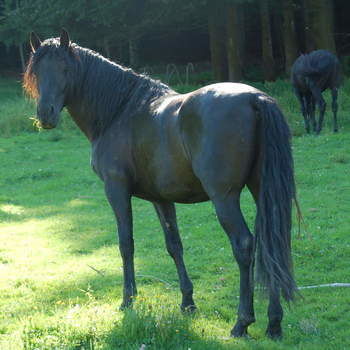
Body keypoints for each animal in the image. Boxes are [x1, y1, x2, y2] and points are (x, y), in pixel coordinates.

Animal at [23, 30, 298, 340]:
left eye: (65, 69)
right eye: (37, 71)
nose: (45, 115)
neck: (119, 111)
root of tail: (255, 98)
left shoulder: (116, 190)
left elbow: (126, 243)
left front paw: (128, 301)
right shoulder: (161, 198)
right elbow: (174, 245)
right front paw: (187, 303)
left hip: (224, 198)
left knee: (244, 245)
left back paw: (242, 322)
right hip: (261, 191)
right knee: (273, 243)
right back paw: (274, 324)